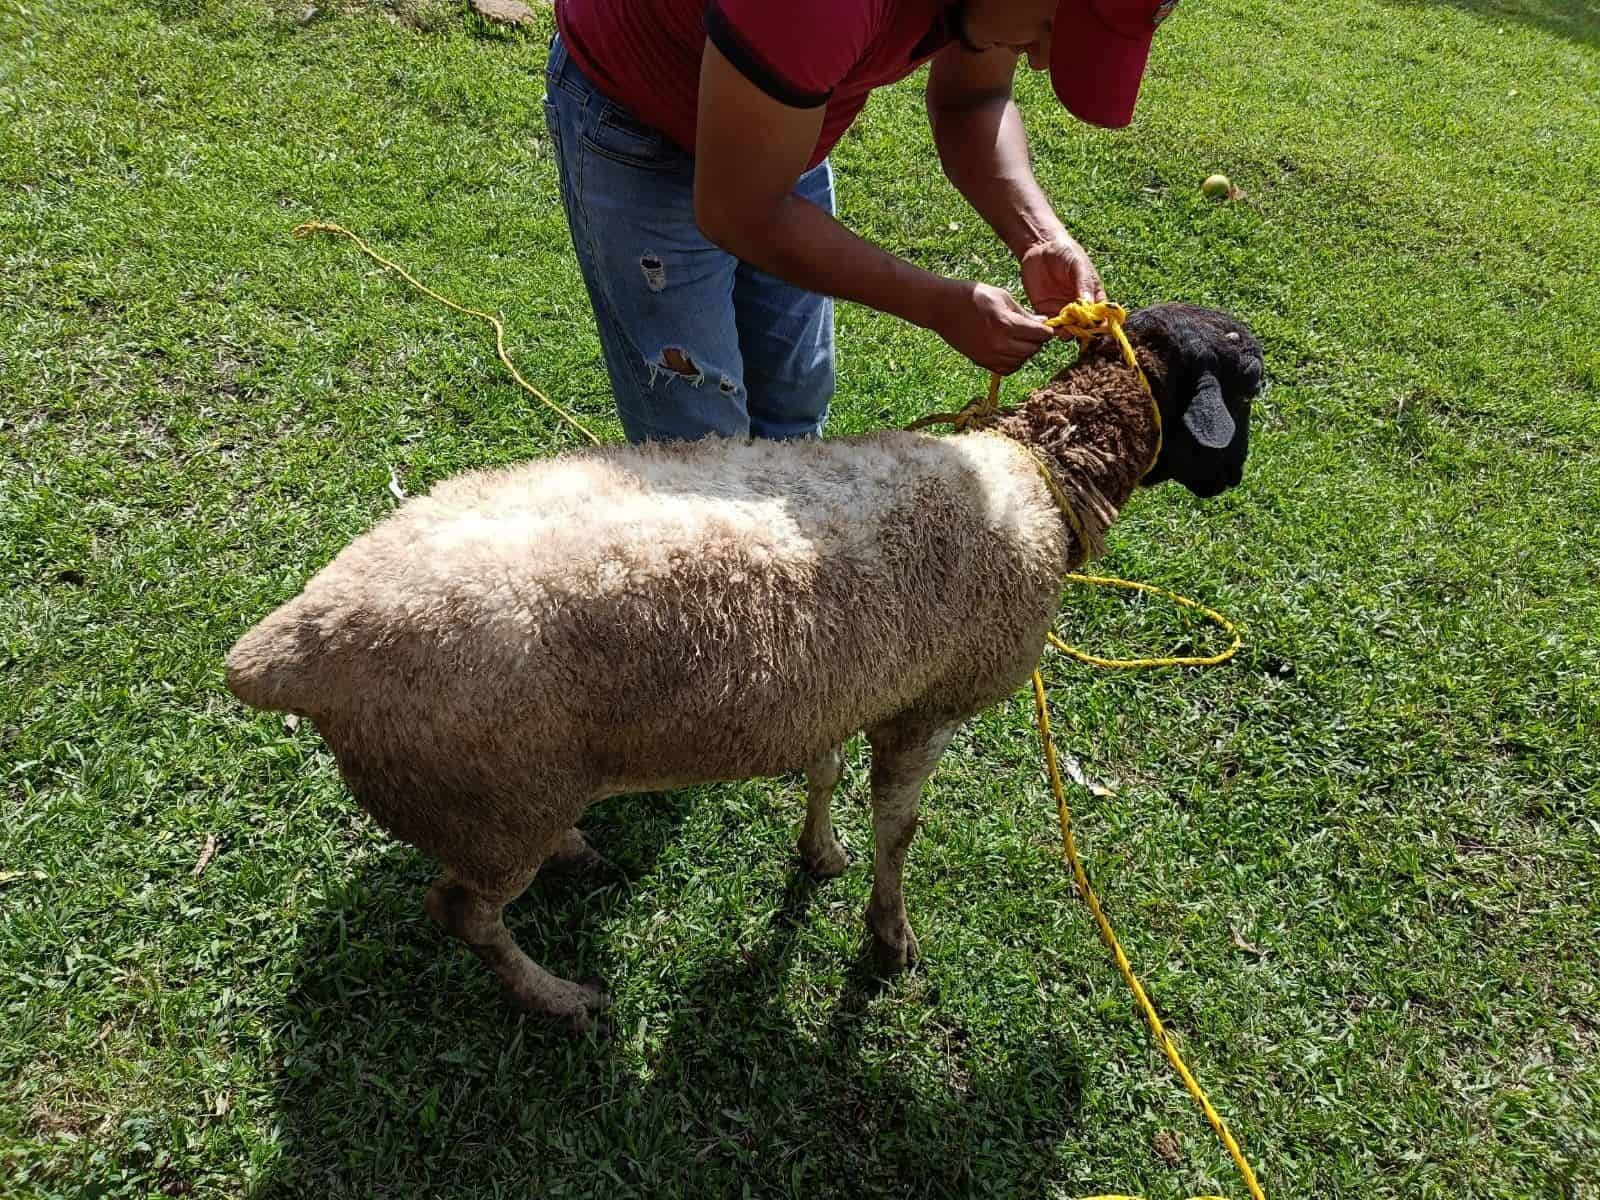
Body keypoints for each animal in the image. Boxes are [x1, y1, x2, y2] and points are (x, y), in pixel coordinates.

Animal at [225, 300, 1267, 1036]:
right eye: (1253, 380)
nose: (1233, 481)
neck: (1043, 473)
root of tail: (291, 645)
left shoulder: (851, 680)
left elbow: (825, 771)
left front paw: (818, 855)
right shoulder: (927, 706)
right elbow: (901, 830)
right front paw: (889, 938)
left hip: (498, 799)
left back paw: (575, 853)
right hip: (487, 799)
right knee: (458, 911)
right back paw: (556, 998)